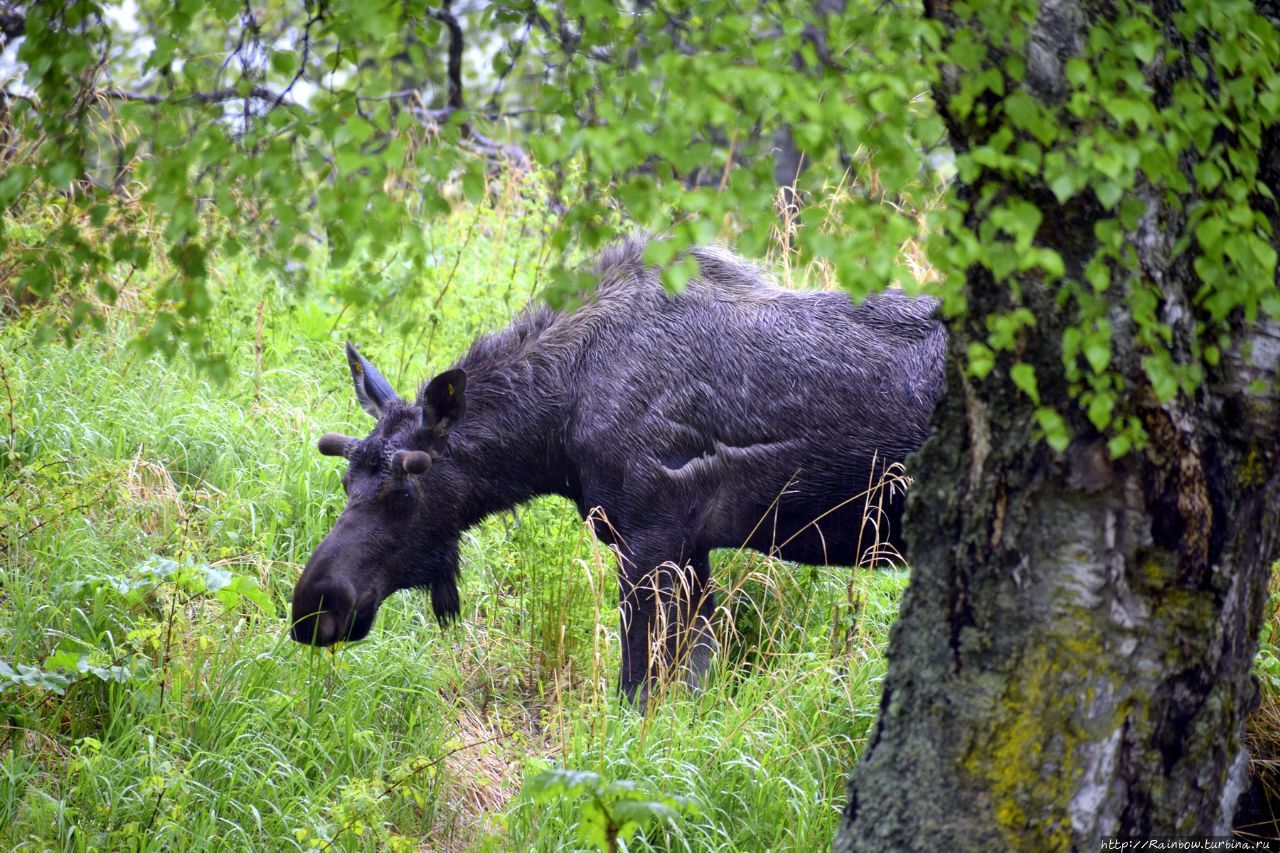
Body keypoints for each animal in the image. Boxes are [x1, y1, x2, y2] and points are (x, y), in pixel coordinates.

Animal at [293, 235, 952, 701]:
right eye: (348, 480)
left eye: (405, 492)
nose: (314, 606)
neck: (557, 429)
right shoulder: (691, 550)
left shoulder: (650, 540)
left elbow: (635, 692)